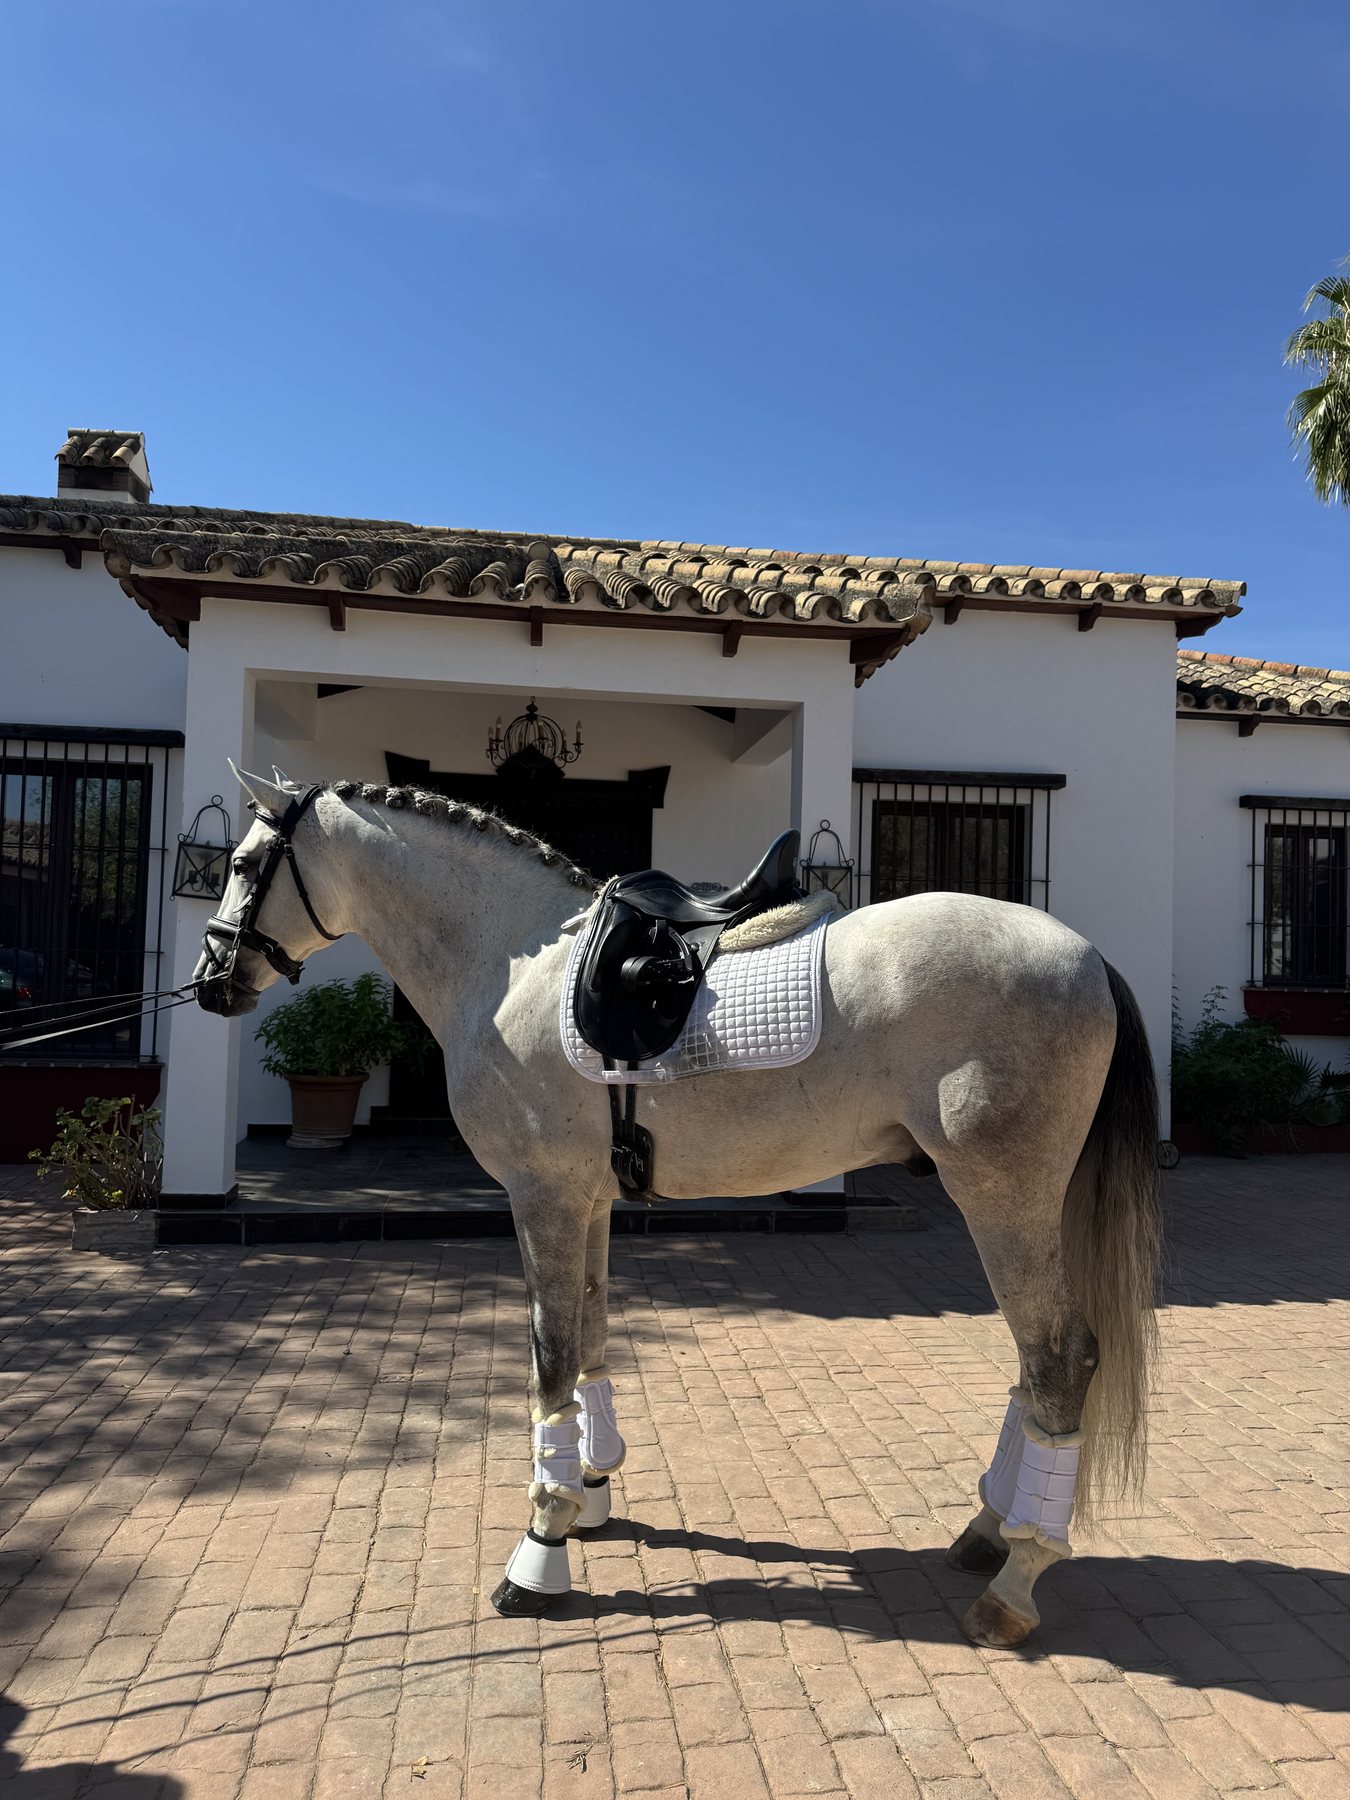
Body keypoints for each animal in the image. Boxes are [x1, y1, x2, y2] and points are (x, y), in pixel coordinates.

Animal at [192, 769, 1161, 1650]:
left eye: (243, 863)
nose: (210, 981)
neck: (515, 963)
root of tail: (1087, 957)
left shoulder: (541, 1196)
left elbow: (549, 1359)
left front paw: (538, 1553)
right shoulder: (585, 1202)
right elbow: (588, 1336)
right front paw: (588, 1499)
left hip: (1001, 1196)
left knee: (1058, 1358)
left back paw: (1015, 1583)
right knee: (1034, 1363)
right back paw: (989, 1532)